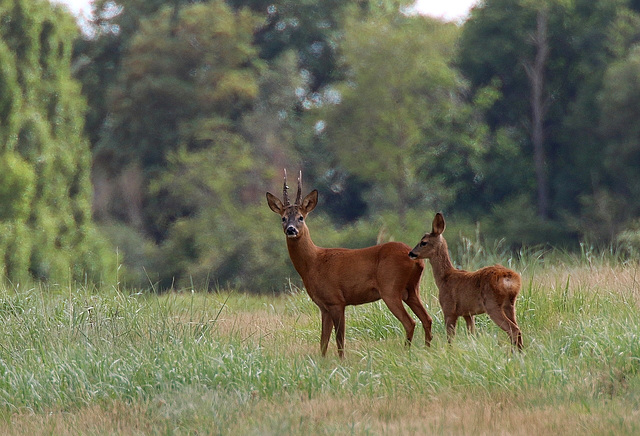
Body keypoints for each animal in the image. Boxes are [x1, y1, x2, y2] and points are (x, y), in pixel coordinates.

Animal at [262, 170, 432, 358]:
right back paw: (428, 350)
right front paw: (322, 362)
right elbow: (323, 342)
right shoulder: (324, 306)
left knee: (410, 322)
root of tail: (417, 259)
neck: (313, 263)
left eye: (301, 217)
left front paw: (341, 361)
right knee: (427, 319)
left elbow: (339, 339)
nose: (291, 229)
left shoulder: (336, 301)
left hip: (390, 288)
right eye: (283, 218)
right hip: (412, 290)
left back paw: (406, 353)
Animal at [408, 213, 524, 350]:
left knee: (513, 329)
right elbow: (472, 334)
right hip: (510, 304)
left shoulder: (449, 309)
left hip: (492, 304)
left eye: (423, 242)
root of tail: (510, 278)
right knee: (517, 329)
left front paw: (450, 351)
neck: (444, 278)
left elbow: (450, 338)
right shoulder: (468, 313)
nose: (411, 253)